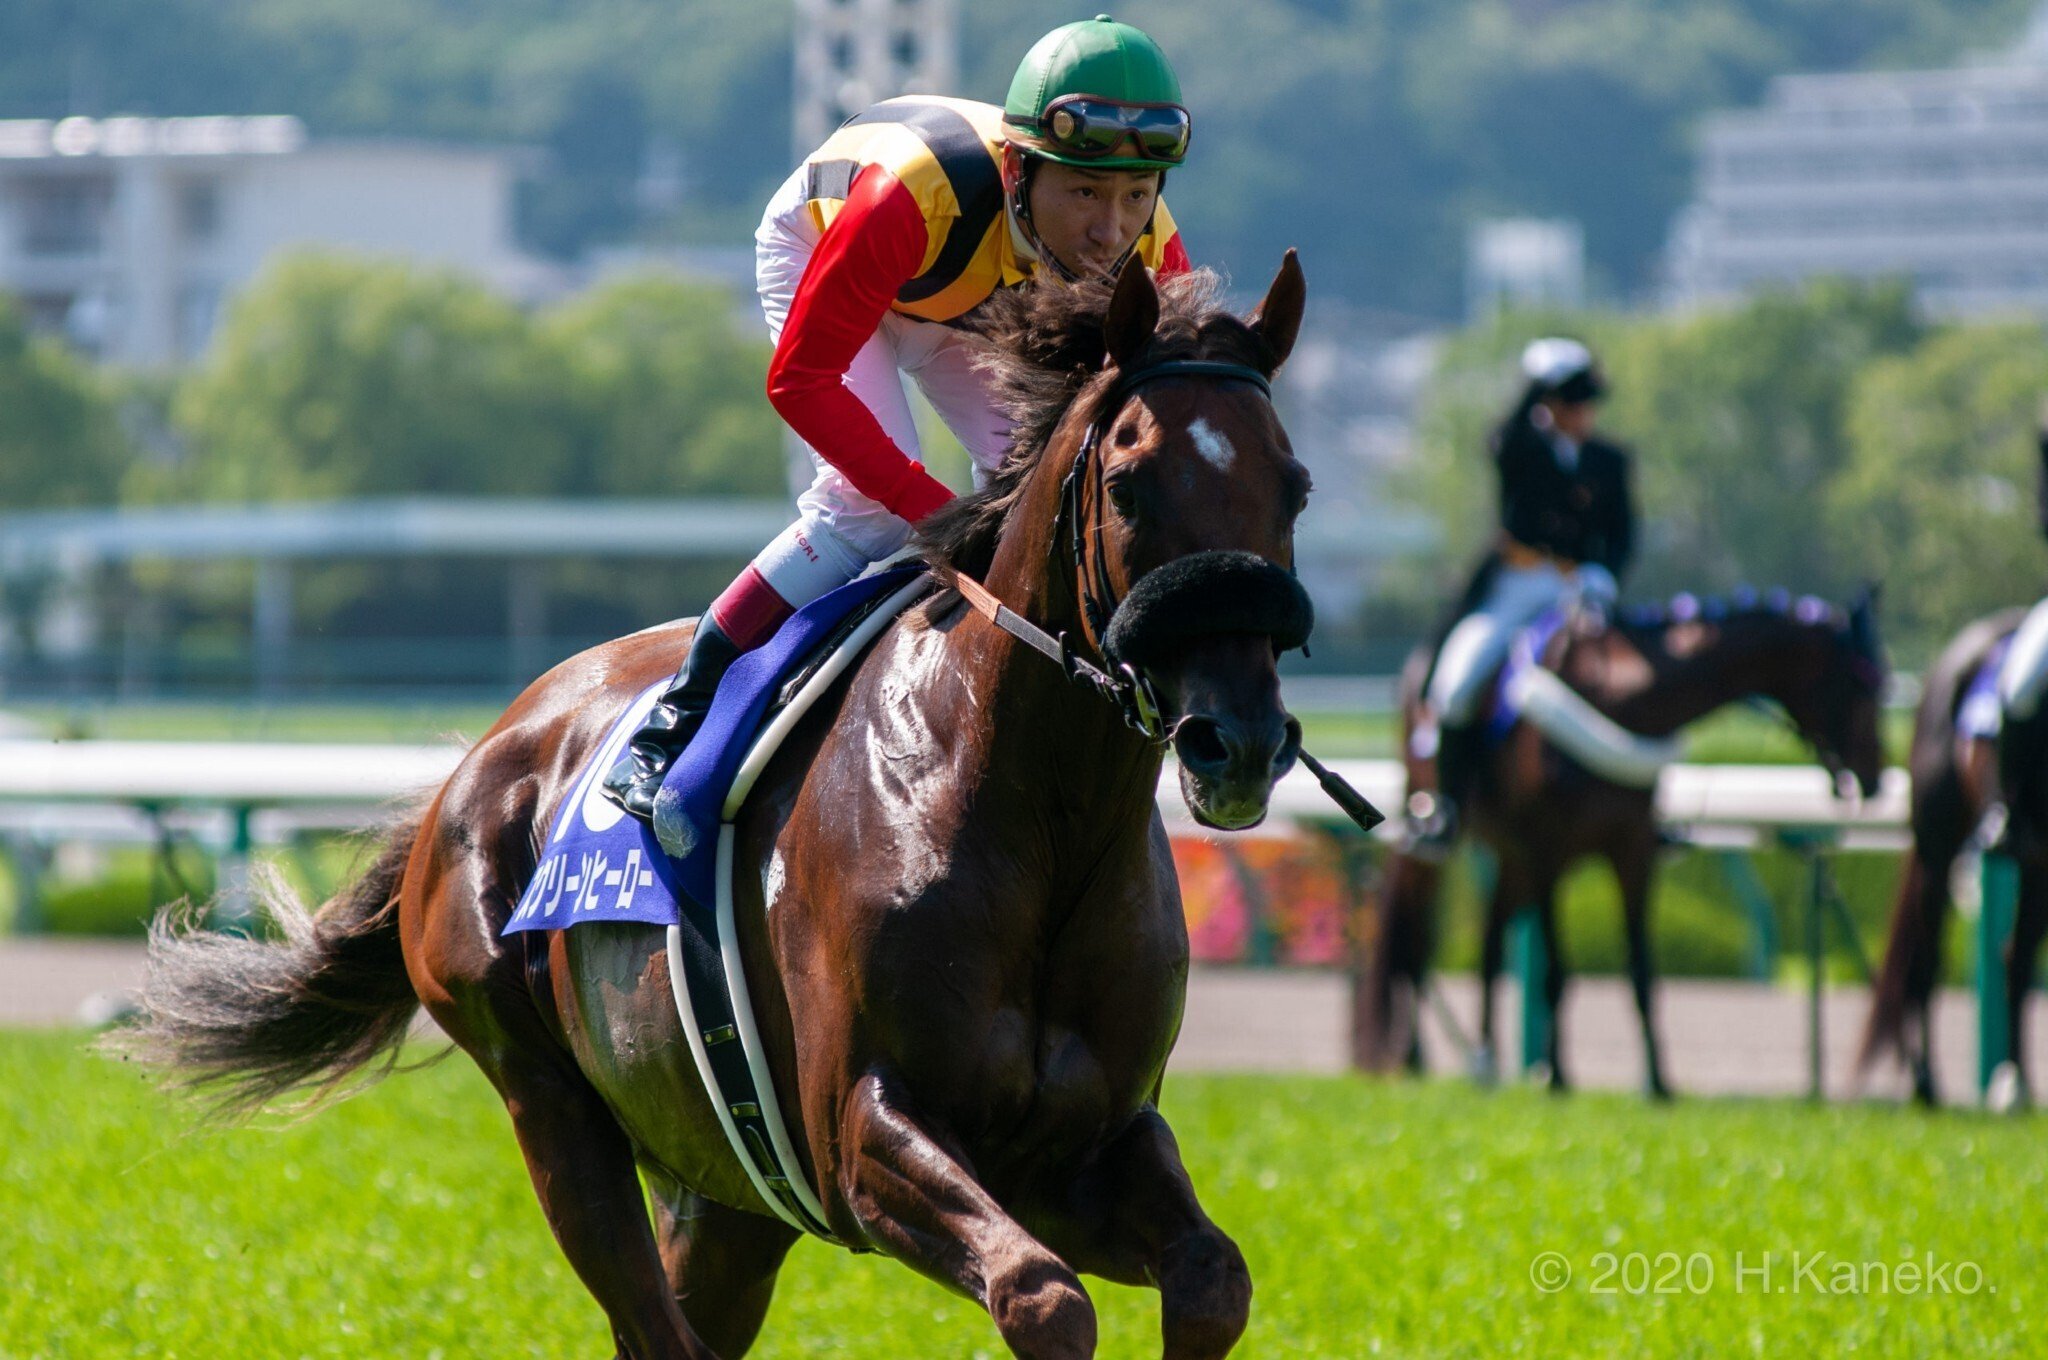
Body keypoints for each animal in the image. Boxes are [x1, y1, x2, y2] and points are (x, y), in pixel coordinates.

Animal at [117, 257, 1319, 1360]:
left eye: (1295, 485)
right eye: (1130, 484)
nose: (1237, 739)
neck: (1034, 821)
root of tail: (480, 762)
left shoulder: (1084, 1148)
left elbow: (1212, 1278)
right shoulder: (858, 1134)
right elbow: (1041, 1294)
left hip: (727, 1189)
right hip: (551, 1106)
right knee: (647, 1316)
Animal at [1359, 593, 1887, 1097]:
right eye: (1859, 683)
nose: (1876, 778)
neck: (1618, 701)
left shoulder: (1633, 851)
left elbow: (1641, 972)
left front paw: (1658, 1081)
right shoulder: (1548, 851)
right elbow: (1556, 974)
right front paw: (1557, 1076)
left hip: (1511, 857)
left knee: (1488, 945)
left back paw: (1486, 1062)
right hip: (1441, 841)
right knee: (1412, 935)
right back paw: (1414, 1056)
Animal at [1858, 608, 2048, 1107]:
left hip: (2034, 868)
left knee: (2015, 957)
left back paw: (2015, 1082)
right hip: (1938, 851)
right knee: (1926, 963)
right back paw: (1929, 1084)